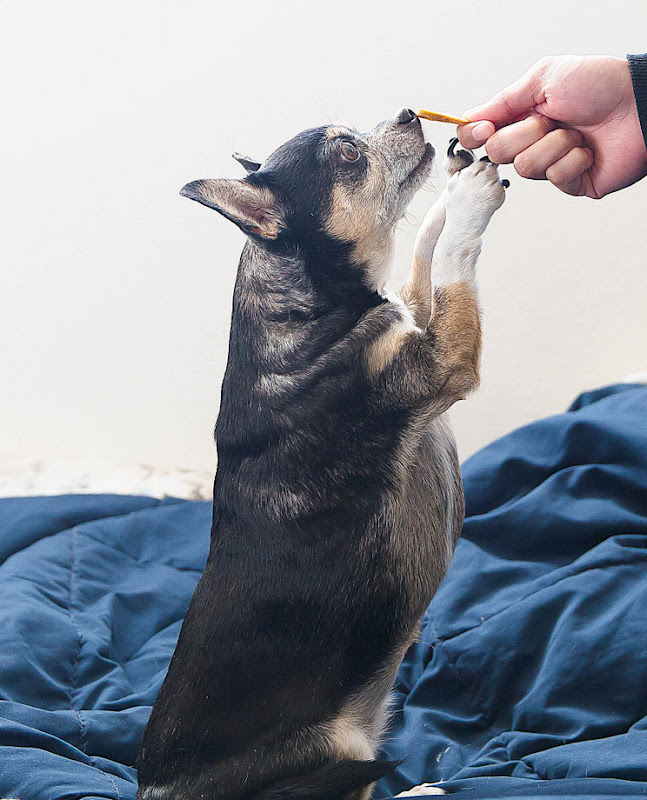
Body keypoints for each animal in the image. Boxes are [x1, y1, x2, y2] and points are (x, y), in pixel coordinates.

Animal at [137, 108, 508, 800]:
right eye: (346, 156)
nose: (408, 113)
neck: (311, 301)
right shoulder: (442, 359)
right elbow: (453, 257)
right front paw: (473, 198)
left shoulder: (417, 314)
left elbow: (426, 247)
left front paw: (457, 177)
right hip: (338, 749)